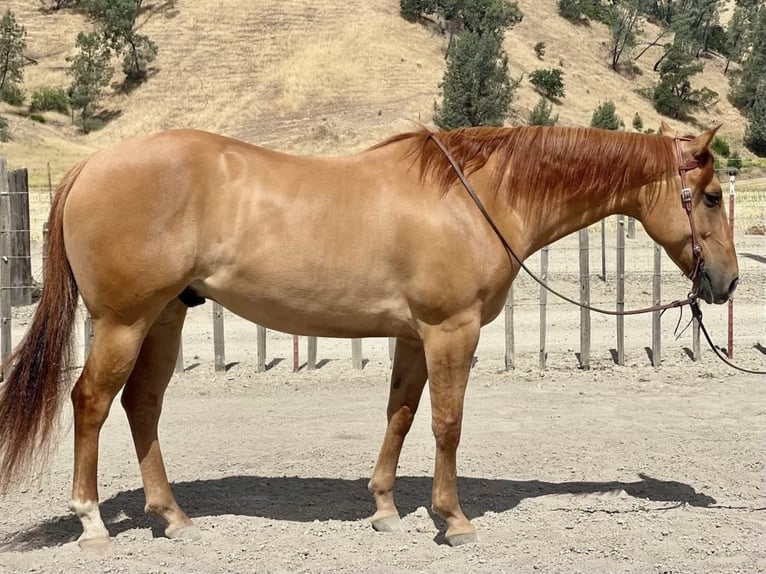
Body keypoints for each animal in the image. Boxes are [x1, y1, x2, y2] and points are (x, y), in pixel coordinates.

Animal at [0, 121, 738, 548]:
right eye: (709, 196)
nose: (727, 283)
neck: (477, 196)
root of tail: (91, 166)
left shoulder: (415, 336)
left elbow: (401, 414)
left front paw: (385, 508)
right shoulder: (450, 331)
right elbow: (446, 424)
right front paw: (453, 520)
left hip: (166, 317)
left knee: (142, 405)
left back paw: (173, 518)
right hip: (123, 321)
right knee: (92, 404)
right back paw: (93, 523)